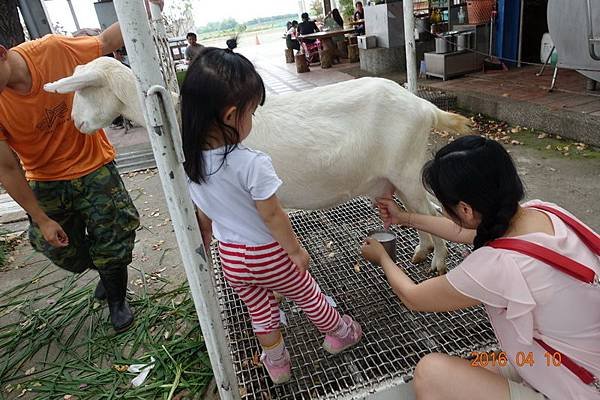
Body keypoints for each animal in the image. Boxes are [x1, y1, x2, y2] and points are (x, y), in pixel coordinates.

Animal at [44, 57, 472, 276]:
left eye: (85, 90)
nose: (78, 124)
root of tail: (423, 106)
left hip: (407, 169)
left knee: (431, 212)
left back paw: (436, 264)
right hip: (394, 176)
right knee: (419, 214)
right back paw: (420, 253)